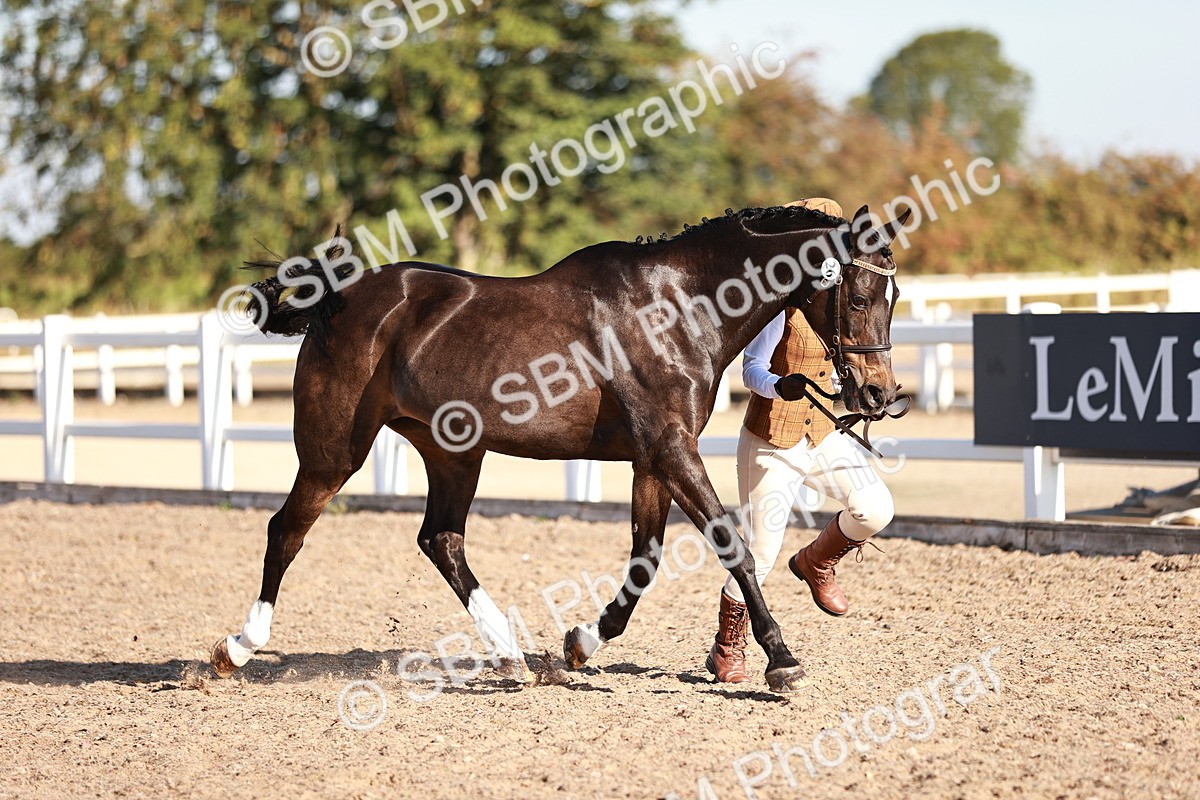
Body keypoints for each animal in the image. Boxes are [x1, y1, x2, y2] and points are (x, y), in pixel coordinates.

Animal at [210, 203, 911, 692]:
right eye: (859, 295)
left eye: (895, 294)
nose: (879, 393)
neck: (679, 308)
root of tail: (338, 298)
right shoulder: (671, 449)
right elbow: (731, 546)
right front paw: (782, 659)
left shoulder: (653, 458)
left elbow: (644, 560)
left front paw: (581, 643)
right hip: (334, 452)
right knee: (286, 531)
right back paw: (235, 649)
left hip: (453, 453)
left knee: (441, 540)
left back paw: (510, 656)